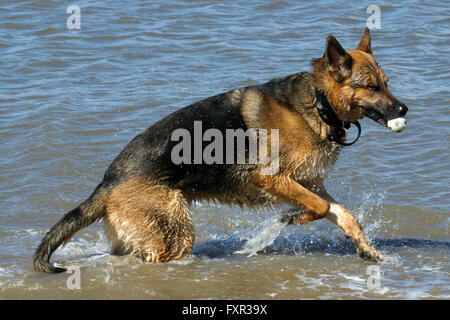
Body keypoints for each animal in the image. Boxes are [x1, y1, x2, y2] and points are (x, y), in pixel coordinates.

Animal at [35, 28, 408, 272]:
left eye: (387, 83)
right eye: (372, 87)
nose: (404, 109)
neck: (319, 103)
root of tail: (108, 181)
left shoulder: (310, 182)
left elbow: (344, 214)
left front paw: (367, 250)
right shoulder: (275, 180)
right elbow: (318, 207)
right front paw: (289, 218)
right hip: (174, 231)